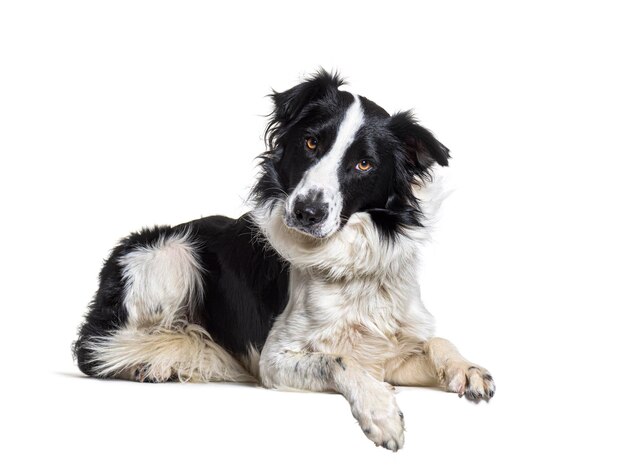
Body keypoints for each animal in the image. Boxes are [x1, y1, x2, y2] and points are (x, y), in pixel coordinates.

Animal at [73, 71, 492, 454]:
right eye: (311, 142)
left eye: (364, 165)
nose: (308, 211)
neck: (350, 265)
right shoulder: (273, 360)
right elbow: (339, 360)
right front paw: (380, 411)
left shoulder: (389, 351)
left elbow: (436, 340)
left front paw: (467, 369)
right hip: (172, 254)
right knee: (96, 347)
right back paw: (145, 364)